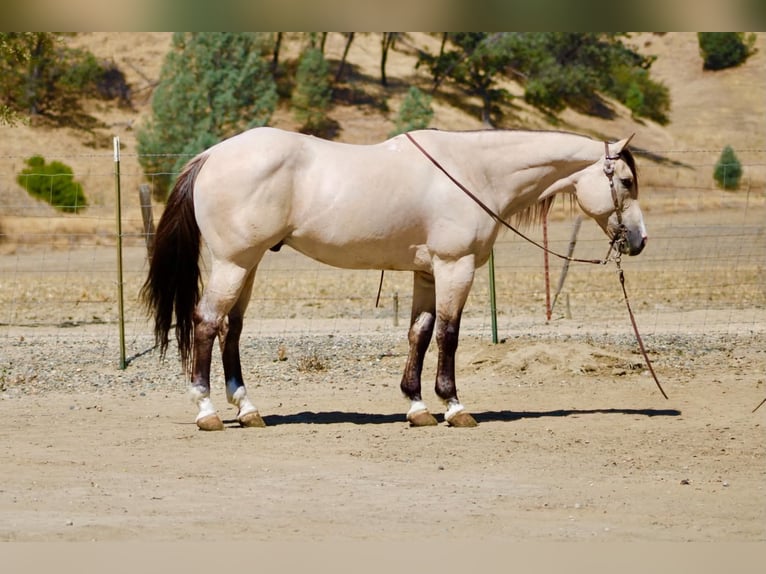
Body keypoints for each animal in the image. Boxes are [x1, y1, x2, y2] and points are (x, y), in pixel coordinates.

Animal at [141, 127, 647, 431]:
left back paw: (248, 410)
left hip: (248, 265)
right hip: (233, 263)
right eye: (625, 181)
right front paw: (454, 406)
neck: (475, 172)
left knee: (232, 330)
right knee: (207, 323)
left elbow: (419, 333)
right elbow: (448, 335)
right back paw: (207, 410)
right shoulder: (454, 266)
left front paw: (417, 406)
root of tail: (211, 155)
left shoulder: (427, 272)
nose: (639, 240)